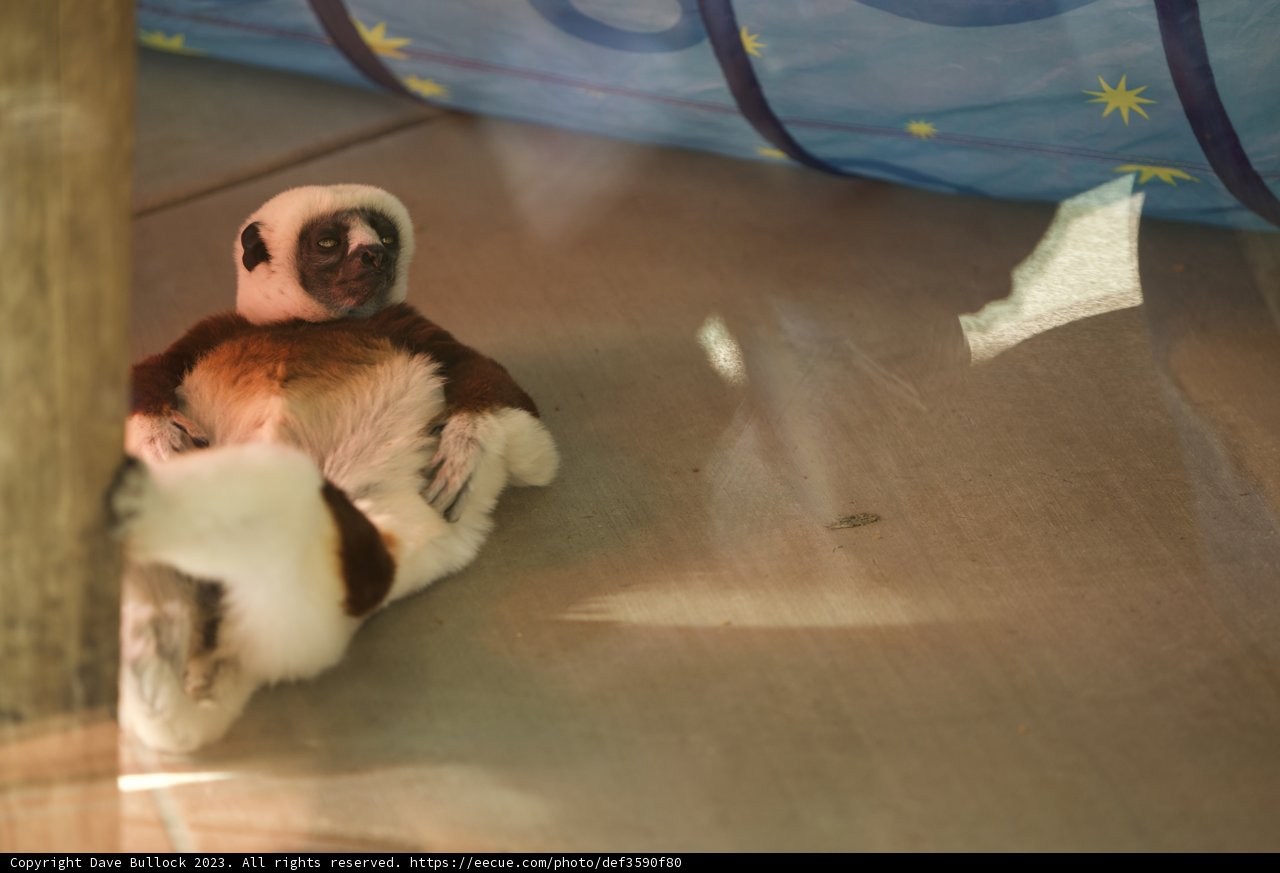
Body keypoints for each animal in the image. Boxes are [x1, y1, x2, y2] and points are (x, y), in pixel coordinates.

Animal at [111, 184, 559, 752]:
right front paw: (157, 434)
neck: (305, 324)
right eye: (328, 243)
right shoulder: (213, 331)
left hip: (331, 573)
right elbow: (145, 378)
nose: (374, 256)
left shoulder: (411, 325)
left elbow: (526, 440)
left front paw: (467, 443)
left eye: (384, 237)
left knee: (278, 500)